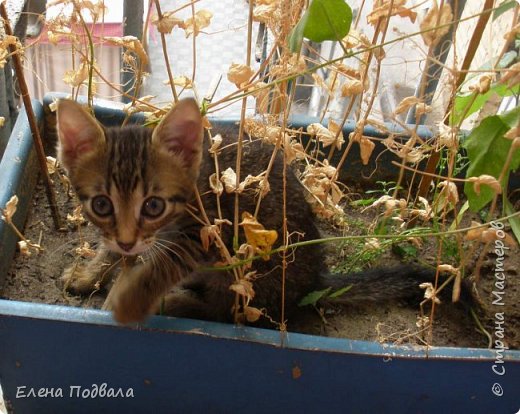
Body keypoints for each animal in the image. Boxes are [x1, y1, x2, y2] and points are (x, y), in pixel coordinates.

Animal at [55, 98, 434, 326]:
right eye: (101, 205)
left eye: (154, 206)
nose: (128, 242)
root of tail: (314, 280)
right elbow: (114, 250)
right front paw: (90, 273)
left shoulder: (205, 233)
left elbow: (159, 268)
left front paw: (128, 300)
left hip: (246, 267)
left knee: (223, 312)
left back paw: (176, 304)